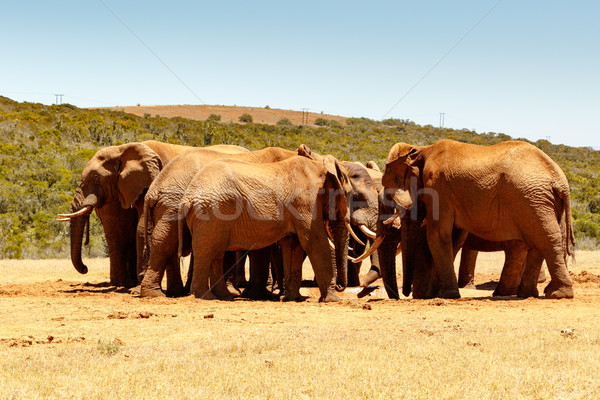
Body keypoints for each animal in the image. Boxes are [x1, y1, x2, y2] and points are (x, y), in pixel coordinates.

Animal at [179, 155, 366, 302]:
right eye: (350, 195)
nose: (341, 287)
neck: (320, 167)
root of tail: (187, 198)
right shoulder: (307, 203)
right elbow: (314, 243)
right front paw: (332, 300)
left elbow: (293, 245)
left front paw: (293, 298)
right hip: (210, 213)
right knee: (207, 252)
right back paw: (205, 296)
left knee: (216, 253)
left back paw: (224, 297)